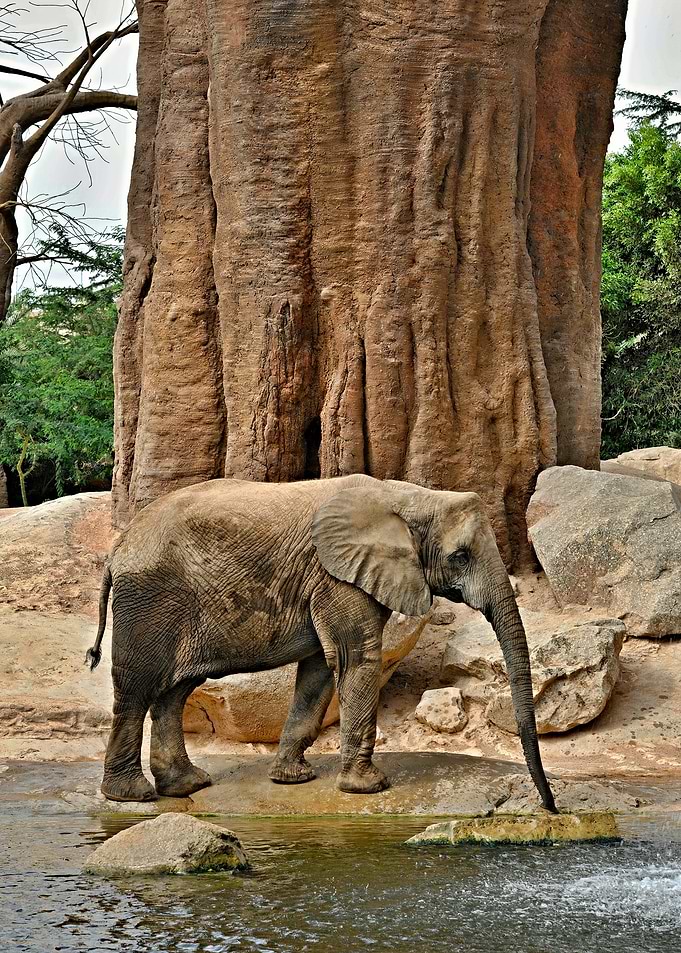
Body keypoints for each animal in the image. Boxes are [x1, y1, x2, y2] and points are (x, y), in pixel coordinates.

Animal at [87, 474, 556, 812]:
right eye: (460, 556)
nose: (550, 806)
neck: (410, 497)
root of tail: (118, 548)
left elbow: (318, 671)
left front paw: (292, 779)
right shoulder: (338, 578)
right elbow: (356, 660)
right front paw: (369, 787)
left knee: (174, 691)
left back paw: (188, 784)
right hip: (149, 599)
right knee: (137, 689)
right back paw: (131, 795)